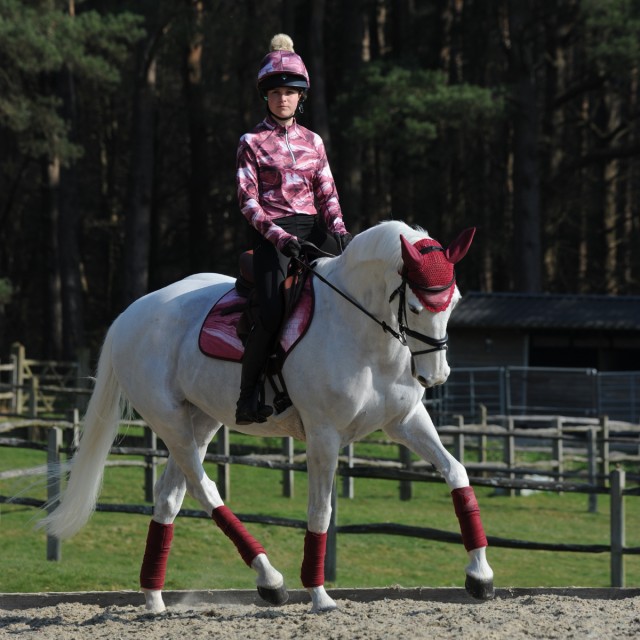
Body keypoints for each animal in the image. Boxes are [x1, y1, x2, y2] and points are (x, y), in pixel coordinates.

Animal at [38, 221, 496, 616]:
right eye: (416, 306)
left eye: (454, 301)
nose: (435, 376)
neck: (361, 331)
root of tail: (130, 314)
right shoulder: (324, 436)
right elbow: (320, 512)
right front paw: (319, 595)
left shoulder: (406, 421)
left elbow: (456, 472)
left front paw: (480, 576)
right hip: (170, 423)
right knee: (204, 489)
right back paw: (270, 580)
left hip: (201, 421)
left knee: (169, 497)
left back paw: (154, 599)